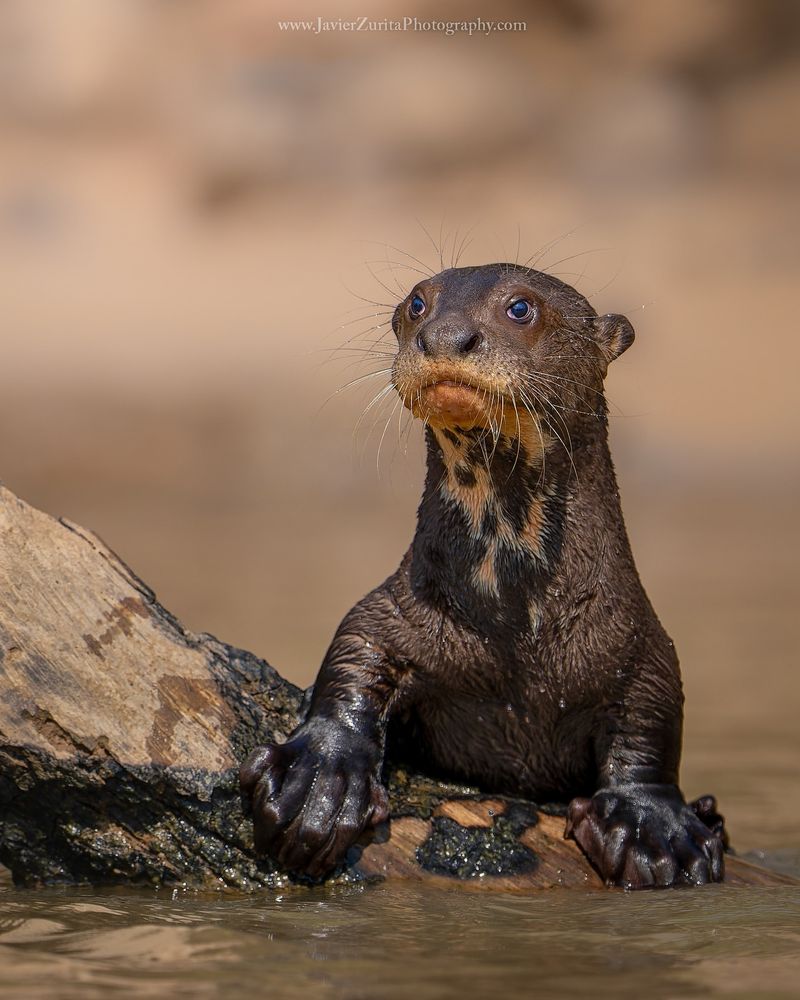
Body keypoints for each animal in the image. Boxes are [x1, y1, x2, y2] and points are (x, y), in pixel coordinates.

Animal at [241, 262, 728, 888]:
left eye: (520, 308)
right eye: (417, 303)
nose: (445, 336)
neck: (518, 633)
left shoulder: (638, 641)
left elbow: (654, 716)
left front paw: (655, 824)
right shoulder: (399, 609)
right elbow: (354, 650)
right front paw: (319, 778)